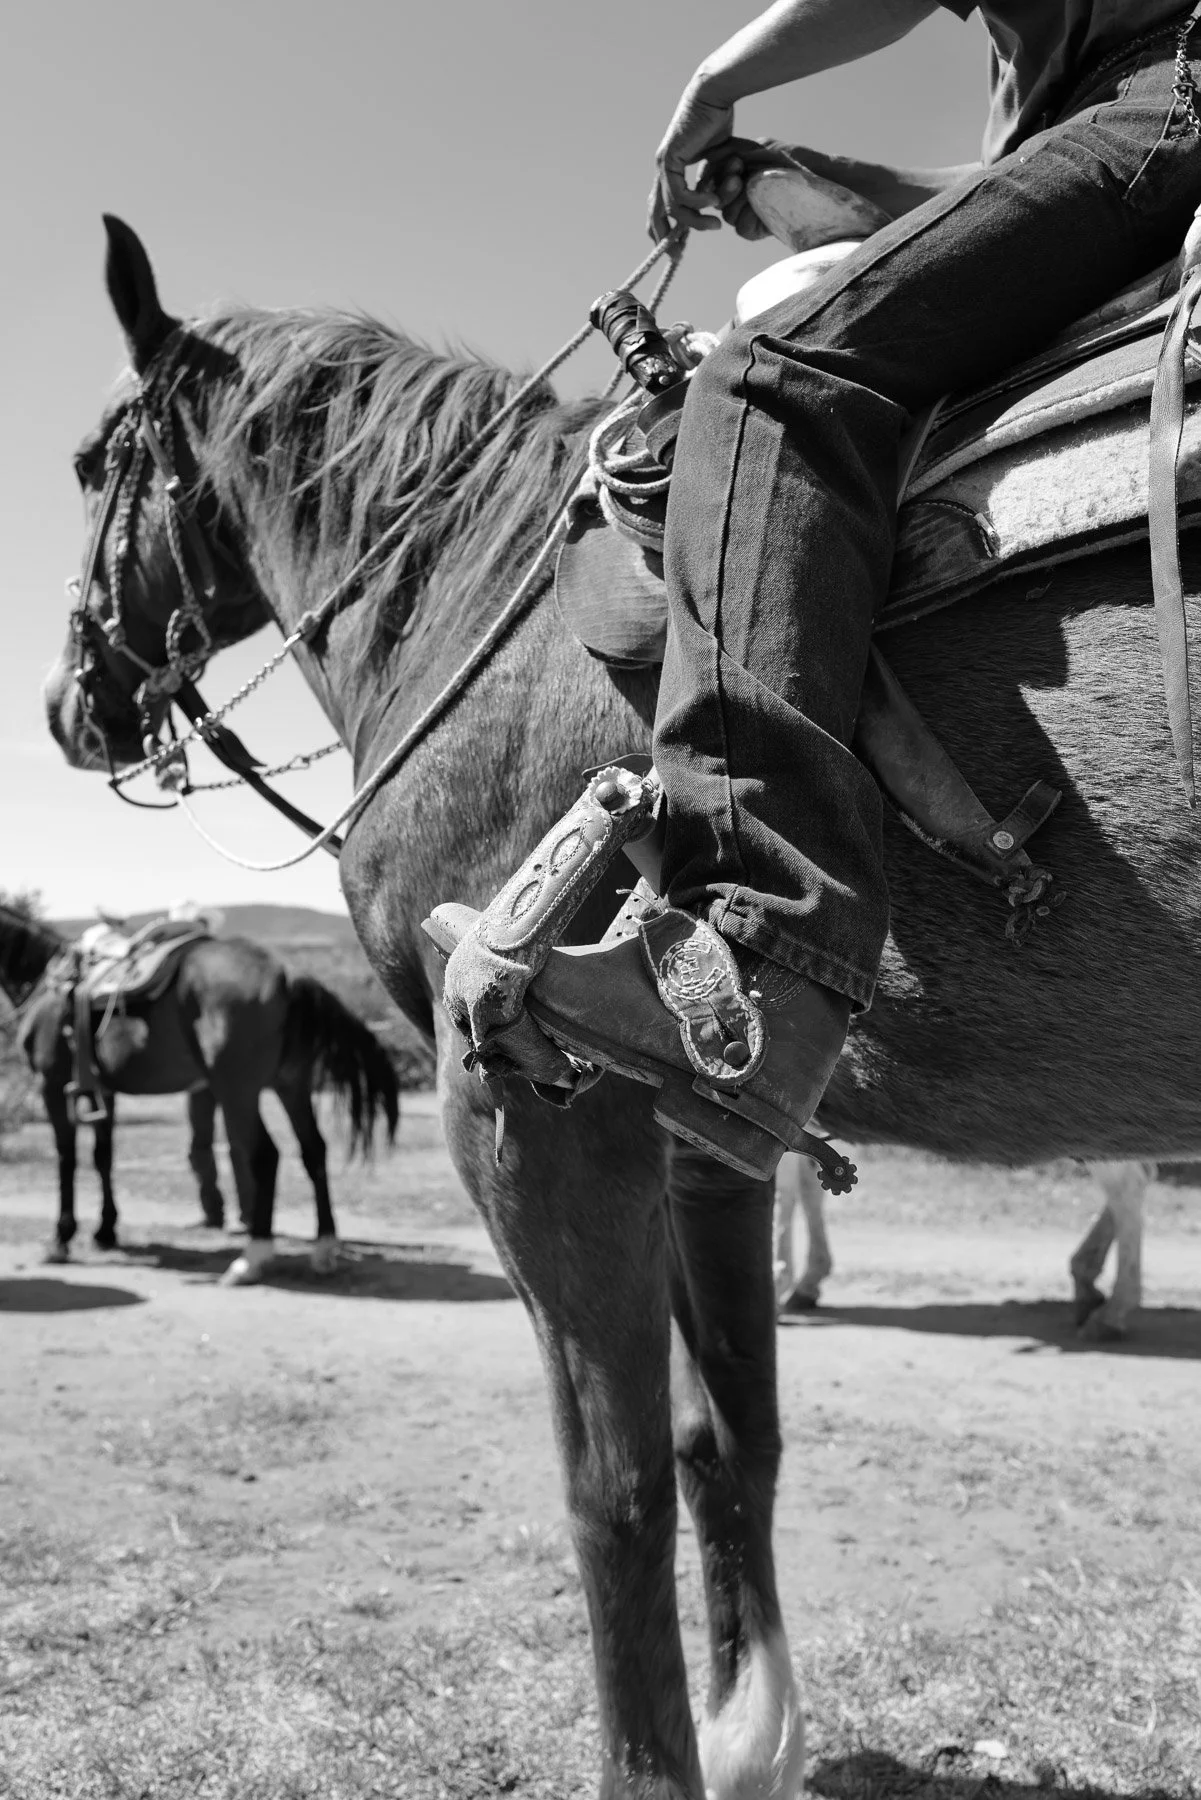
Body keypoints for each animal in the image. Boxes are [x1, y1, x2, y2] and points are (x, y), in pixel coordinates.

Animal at [0, 904, 399, 1283]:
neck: (44, 981)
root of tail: (287, 975)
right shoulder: (104, 1092)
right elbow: (103, 1157)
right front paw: (105, 1231)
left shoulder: (51, 1085)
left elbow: (66, 1158)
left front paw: (61, 1238)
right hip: (291, 1085)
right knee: (314, 1149)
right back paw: (324, 1248)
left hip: (236, 1089)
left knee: (264, 1154)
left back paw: (252, 1257)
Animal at [43, 215, 1201, 1799]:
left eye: (90, 464)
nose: (66, 705)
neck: (480, 604)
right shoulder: (706, 1146)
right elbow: (730, 1437)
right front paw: (751, 1731)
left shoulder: (536, 1118)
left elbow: (617, 1488)